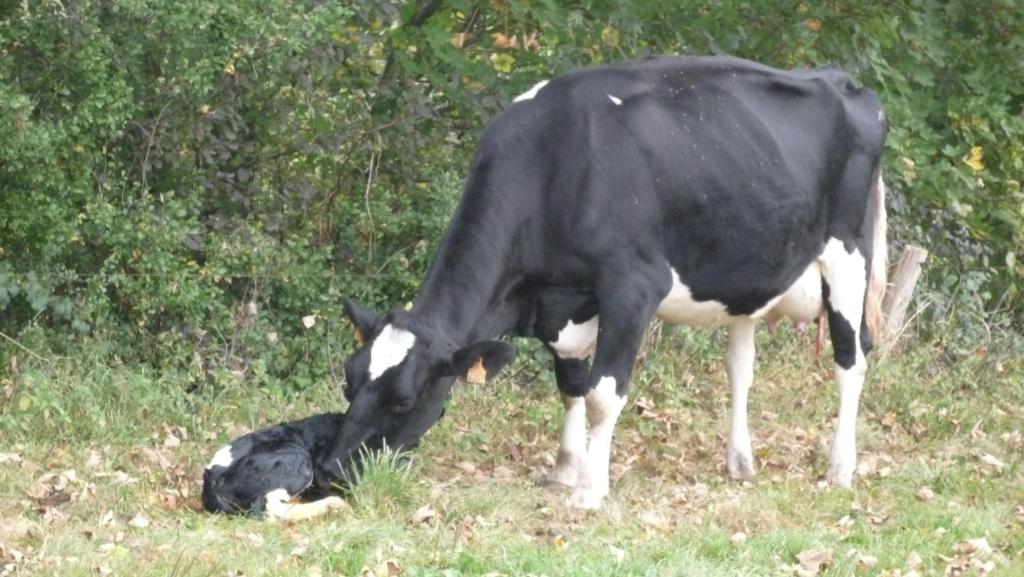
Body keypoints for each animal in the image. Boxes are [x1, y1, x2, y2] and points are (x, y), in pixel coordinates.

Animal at [319, 56, 888, 510]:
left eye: (403, 400)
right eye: (349, 381)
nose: (328, 469)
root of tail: (839, 78)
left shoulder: (632, 288)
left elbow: (602, 394)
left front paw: (590, 490)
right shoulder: (561, 302)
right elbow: (571, 386)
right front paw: (565, 469)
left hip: (848, 258)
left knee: (851, 359)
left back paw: (839, 468)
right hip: (749, 270)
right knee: (740, 368)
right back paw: (739, 461)